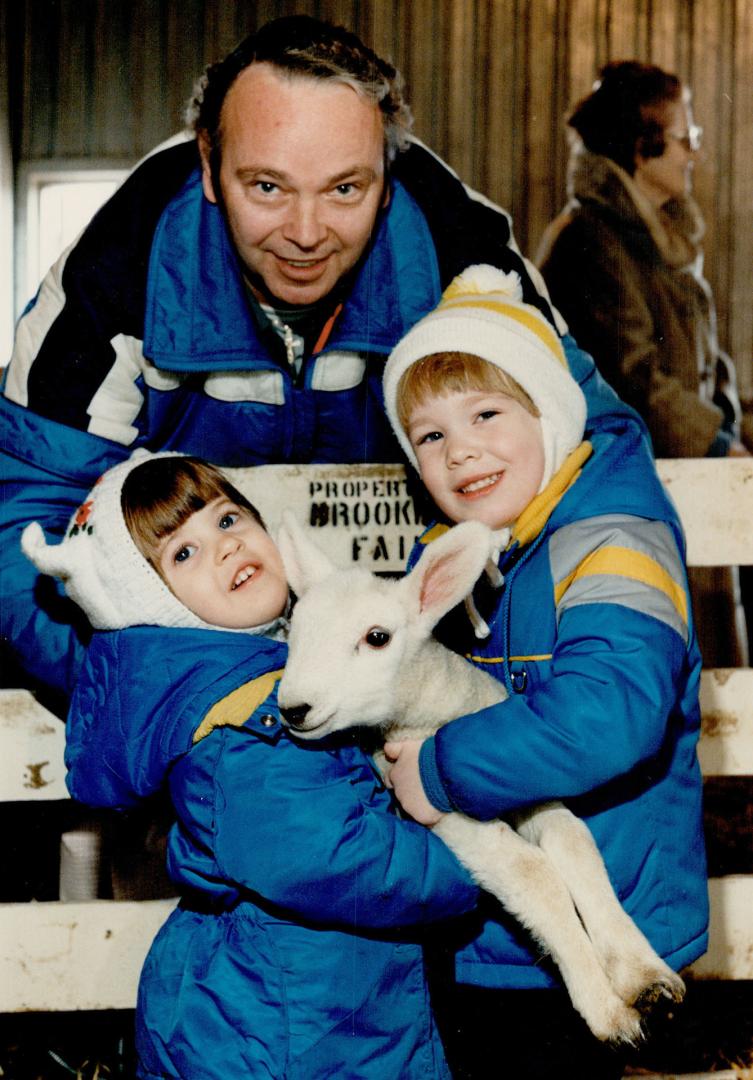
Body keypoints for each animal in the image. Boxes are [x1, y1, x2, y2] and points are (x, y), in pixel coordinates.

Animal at [274, 514, 682, 1045]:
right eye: (293, 632)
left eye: (377, 637)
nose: (293, 708)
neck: (434, 712)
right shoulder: (449, 813)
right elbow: (534, 874)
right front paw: (607, 1009)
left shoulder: (517, 782)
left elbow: (573, 843)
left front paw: (644, 976)